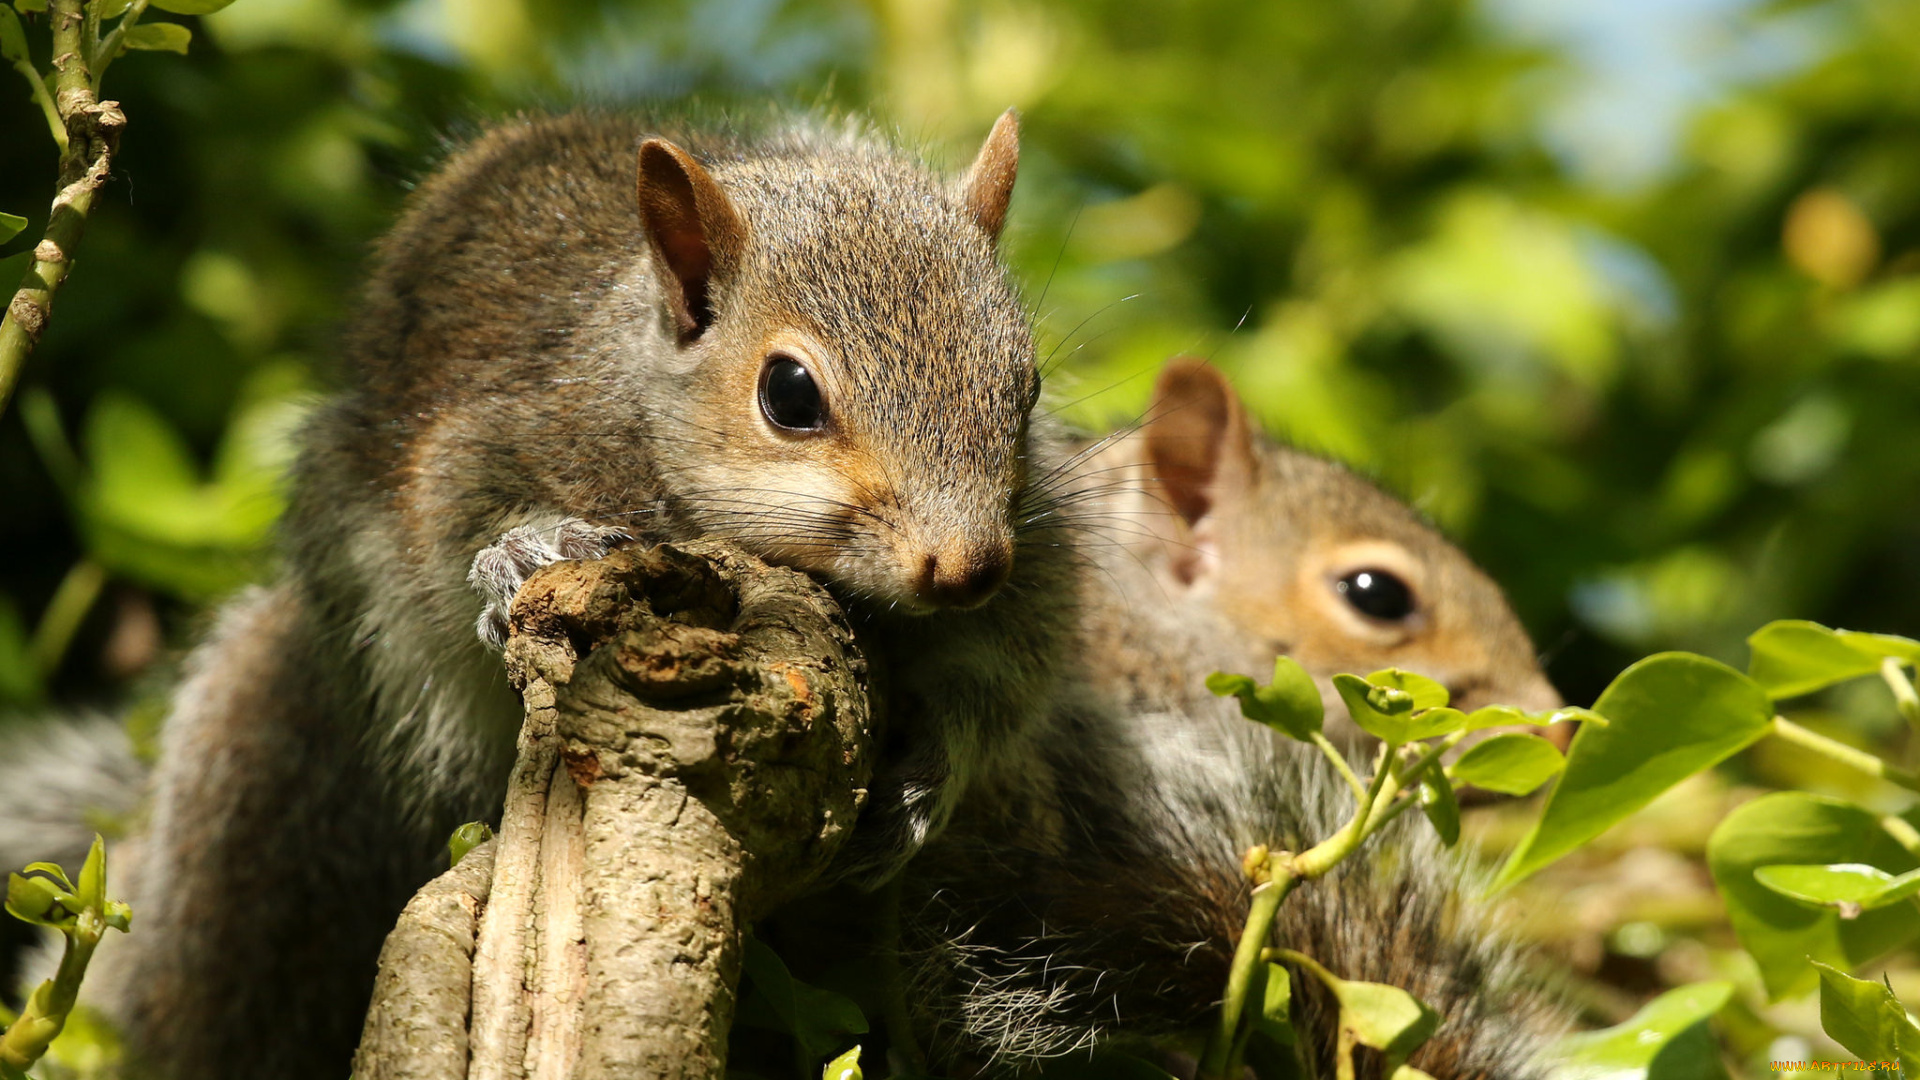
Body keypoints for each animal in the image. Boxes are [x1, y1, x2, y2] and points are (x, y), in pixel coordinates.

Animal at [11, 109, 1082, 1076]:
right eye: (789, 394)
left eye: (1026, 388)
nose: (966, 567)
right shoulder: (482, 447)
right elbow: (458, 542)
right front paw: (524, 553)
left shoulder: (1038, 565)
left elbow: (1007, 674)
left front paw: (926, 780)